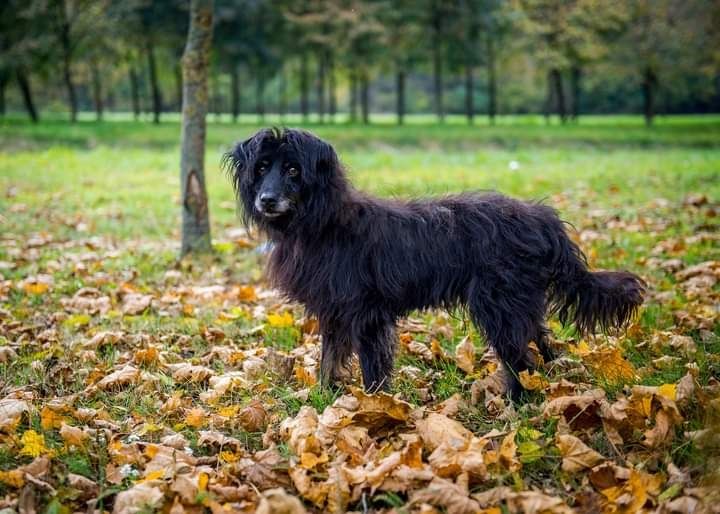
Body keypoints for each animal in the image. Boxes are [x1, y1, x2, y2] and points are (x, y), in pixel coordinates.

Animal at [222, 127, 644, 396]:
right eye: (262, 168)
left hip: (499, 304)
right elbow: (329, 360)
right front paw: (325, 400)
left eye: (294, 169)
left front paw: (374, 408)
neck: (321, 223)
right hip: (523, 302)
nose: (267, 200)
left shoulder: (366, 312)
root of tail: (544, 219)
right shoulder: (335, 311)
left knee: (519, 358)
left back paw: (519, 401)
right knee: (541, 343)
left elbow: (372, 368)